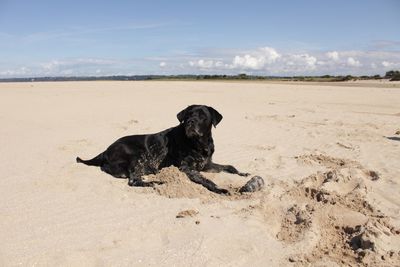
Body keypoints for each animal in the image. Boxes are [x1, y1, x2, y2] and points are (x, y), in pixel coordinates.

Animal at [77, 104, 264, 195]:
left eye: (203, 116)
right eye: (188, 115)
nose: (190, 122)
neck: (198, 143)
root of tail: (104, 151)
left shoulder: (207, 164)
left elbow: (229, 167)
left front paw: (242, 174)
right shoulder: (187, 168)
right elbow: (206, 180)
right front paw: (219, 189)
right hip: (137, 156)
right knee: (133, 181)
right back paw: (158, 182)